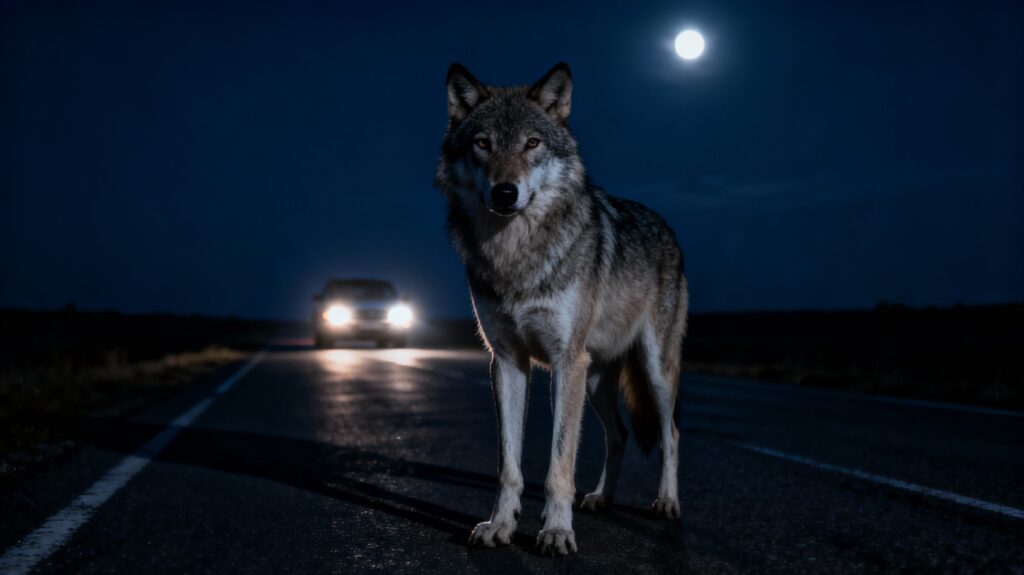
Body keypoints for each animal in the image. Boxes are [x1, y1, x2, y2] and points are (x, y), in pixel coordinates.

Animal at [435, 62, 689, 556]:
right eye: (483, 144)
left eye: (532, 143)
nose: (505, 192)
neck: (515, 255)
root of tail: (666, 226)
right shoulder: (508, 362)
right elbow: (509, 465)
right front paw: (501, 525)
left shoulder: (565, 361)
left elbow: (558, 465)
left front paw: (555, 531)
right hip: (594, 380)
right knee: (619, 434)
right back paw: (601, 498)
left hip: (650, 370)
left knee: (669, 434)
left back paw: (667, 502)